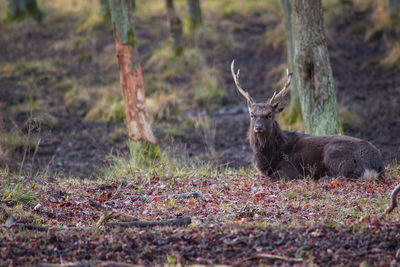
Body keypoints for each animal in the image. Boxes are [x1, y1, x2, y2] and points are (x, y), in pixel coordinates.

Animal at [231, 60, 384, 180]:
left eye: (269, 114)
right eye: (252, 114)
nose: (258, 127)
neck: (270, 157)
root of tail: (377, 165)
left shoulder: (292, 168)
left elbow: (272, 176)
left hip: (333, 152)